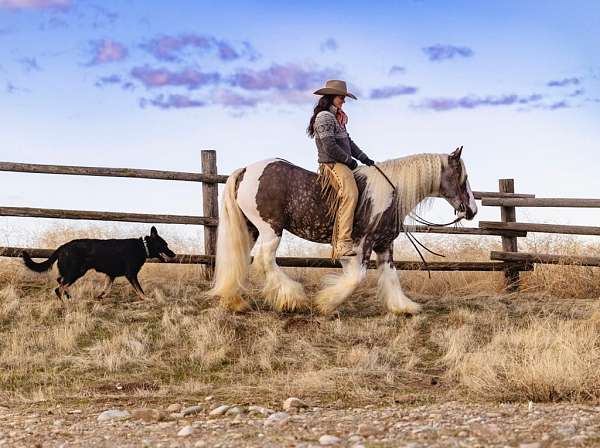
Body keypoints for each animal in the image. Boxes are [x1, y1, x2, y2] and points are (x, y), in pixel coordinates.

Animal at [21, 226, 176, 300]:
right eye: (165, 245)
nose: (174, 254)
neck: (143, 246)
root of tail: (62, 246)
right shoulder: (131, 274)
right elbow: (140, 290)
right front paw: (147, 299)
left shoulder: (111, 275)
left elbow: (107, 289)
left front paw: (100, 297)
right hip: (75, 272)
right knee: (59, 288)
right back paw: (65, 302)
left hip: (75, 272)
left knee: (60, 282)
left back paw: (69, 297)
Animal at [209, 148, 476, 316]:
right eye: (463, 177)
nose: (472, 210)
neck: (390, 193)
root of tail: (246, 170)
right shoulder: (363, 244)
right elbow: (356, 278)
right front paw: (326, 303)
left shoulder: (384, 245)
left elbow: (391, 276)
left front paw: (403, 307)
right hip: (270, 229)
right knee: (265, 260)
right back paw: (293, 299)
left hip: (251, 229)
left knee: (239, 260)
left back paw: (235, 302)